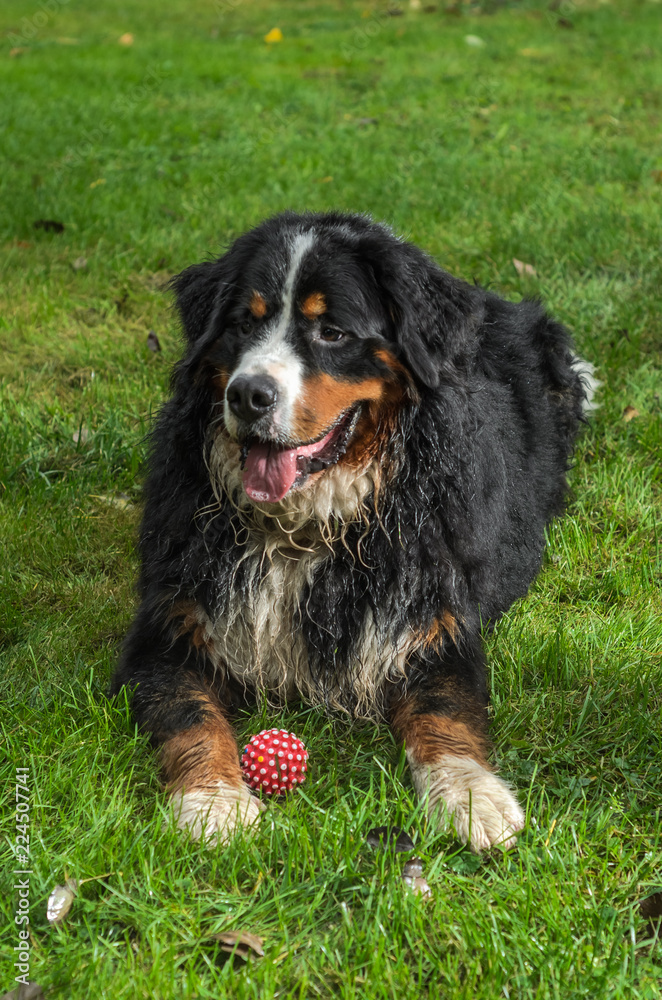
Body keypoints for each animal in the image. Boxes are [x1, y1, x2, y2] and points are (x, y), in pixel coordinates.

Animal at [109, 211, 596, 852]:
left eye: (333, 333)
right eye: (243, 322)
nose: (247, 394)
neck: (306, 526)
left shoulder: (431, 621)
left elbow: (445, 711)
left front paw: (473, 797)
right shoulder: (170, 627)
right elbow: (191, 715)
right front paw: (213, 802)